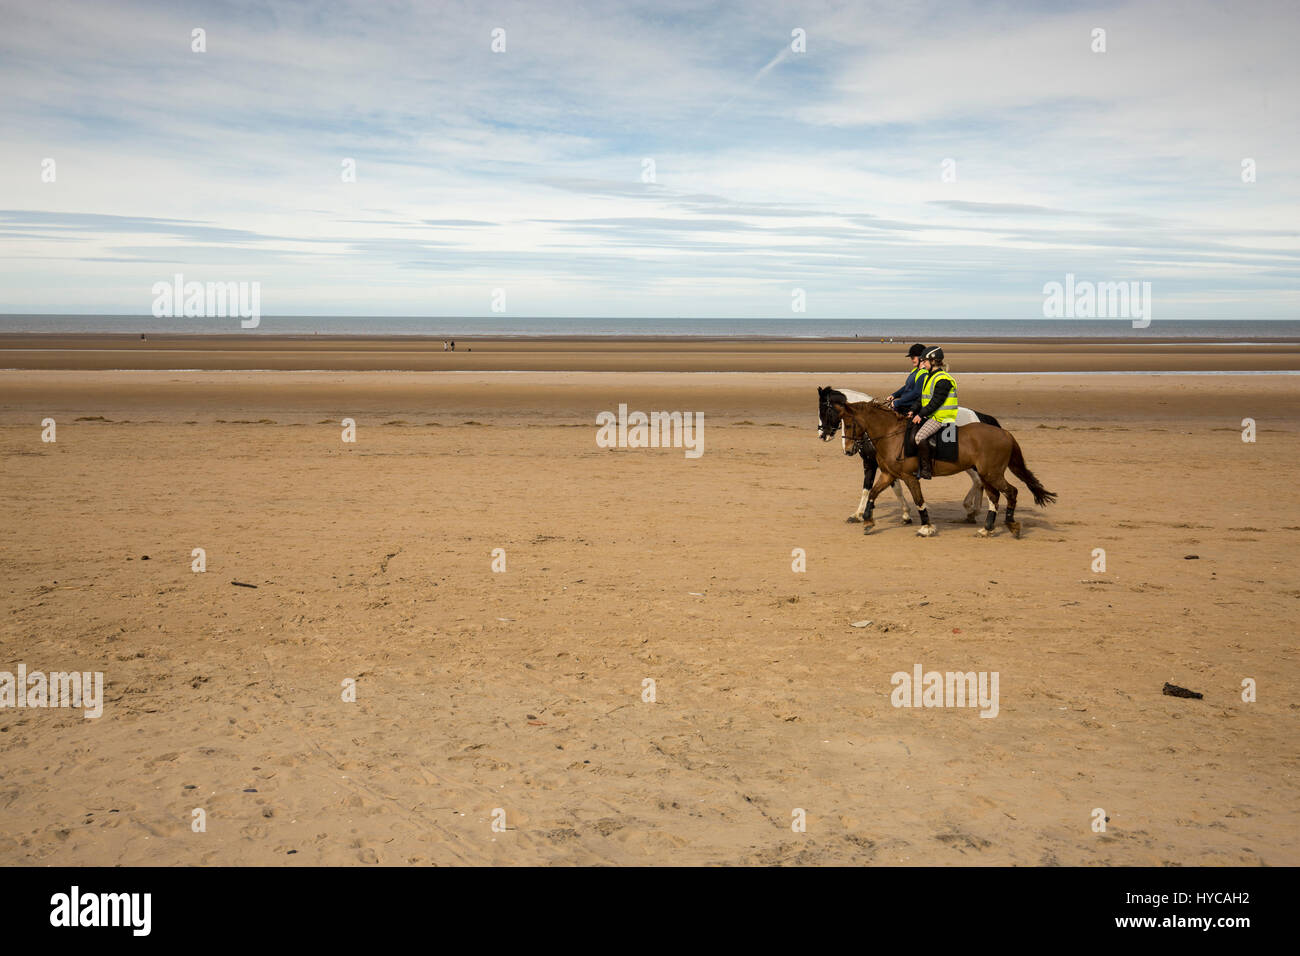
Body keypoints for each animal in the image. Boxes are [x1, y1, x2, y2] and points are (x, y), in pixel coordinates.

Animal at [816, 385, 998, 528]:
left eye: (825, 411)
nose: (822, 435)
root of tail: (978, 416)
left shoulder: (885, 465)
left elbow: (895, 488)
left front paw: (906, 514)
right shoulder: (871, 464)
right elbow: (867, 488)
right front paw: (858, 514)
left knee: (979, 481)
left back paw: (973, 510)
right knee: (979, 482)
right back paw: (973, 512)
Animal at [832, 395, 1055, 538]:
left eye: (849, 424)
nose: (848, 450)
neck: (891, 434)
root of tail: (1005, 433)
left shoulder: (910, 477)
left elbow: (919, 500)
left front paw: (926, 528)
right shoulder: (888, 474)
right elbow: (872, 493)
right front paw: (868, 521)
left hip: (991, 474)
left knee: (1011, 492)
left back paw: (1010, 525)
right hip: (987, 475)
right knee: (995, 496)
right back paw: (987, 528)